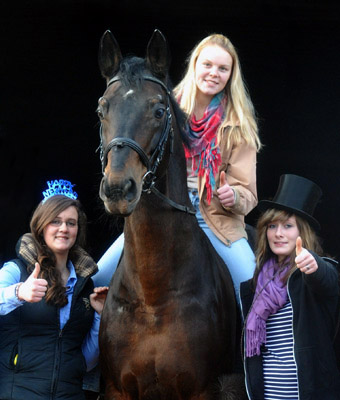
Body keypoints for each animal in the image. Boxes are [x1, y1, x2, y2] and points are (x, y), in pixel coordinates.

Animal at [97, 29, 243, 398]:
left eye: (159, 110)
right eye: (102, 108)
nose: (118, 189)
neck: (154, 298)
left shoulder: (201, 389)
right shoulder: (118, 389)